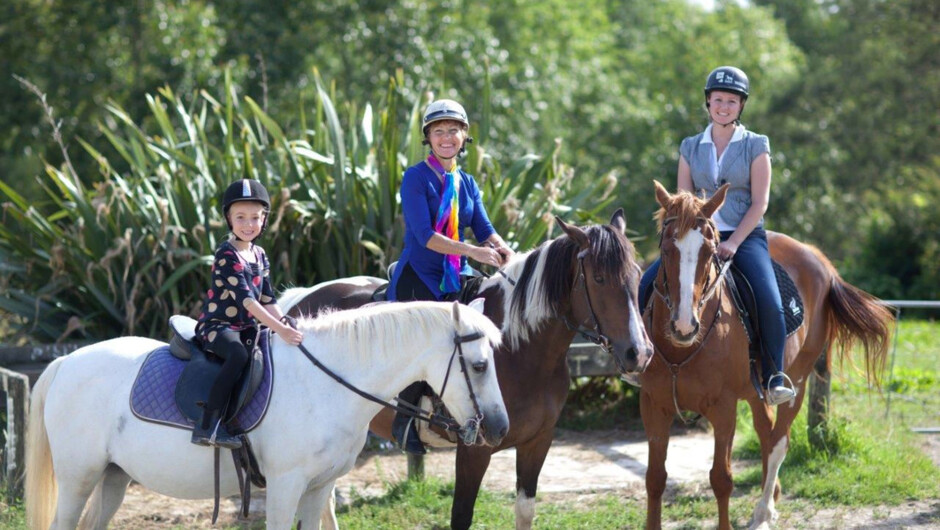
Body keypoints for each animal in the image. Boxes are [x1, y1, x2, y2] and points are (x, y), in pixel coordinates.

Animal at [25, 300, 510, 524]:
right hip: (78, 478)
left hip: (112, 478)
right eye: (479, 365)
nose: (500, 428)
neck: (326, 384)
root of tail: (66, 362)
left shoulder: (318, 488)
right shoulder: (284, 485)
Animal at [276, 210, 648, 528]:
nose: (640, 353)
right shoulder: (474, 450)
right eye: (598, 278)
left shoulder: (538, 442)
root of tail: (298, 300)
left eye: (637, 274)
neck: (520, 351)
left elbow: (525, 511)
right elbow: (462, 516)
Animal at [644, 179, 892, 524]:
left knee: (778, 441)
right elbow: (655, 479)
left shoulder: (723, 409)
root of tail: (820, 260)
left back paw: (764, 511)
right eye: (667, 249)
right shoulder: (654, 406)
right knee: (765, 429)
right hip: (755, 389)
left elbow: (721, 479)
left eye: (709, 252)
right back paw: (771, 494)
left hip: (796, 381)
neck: (682, 351)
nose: (684, 326)